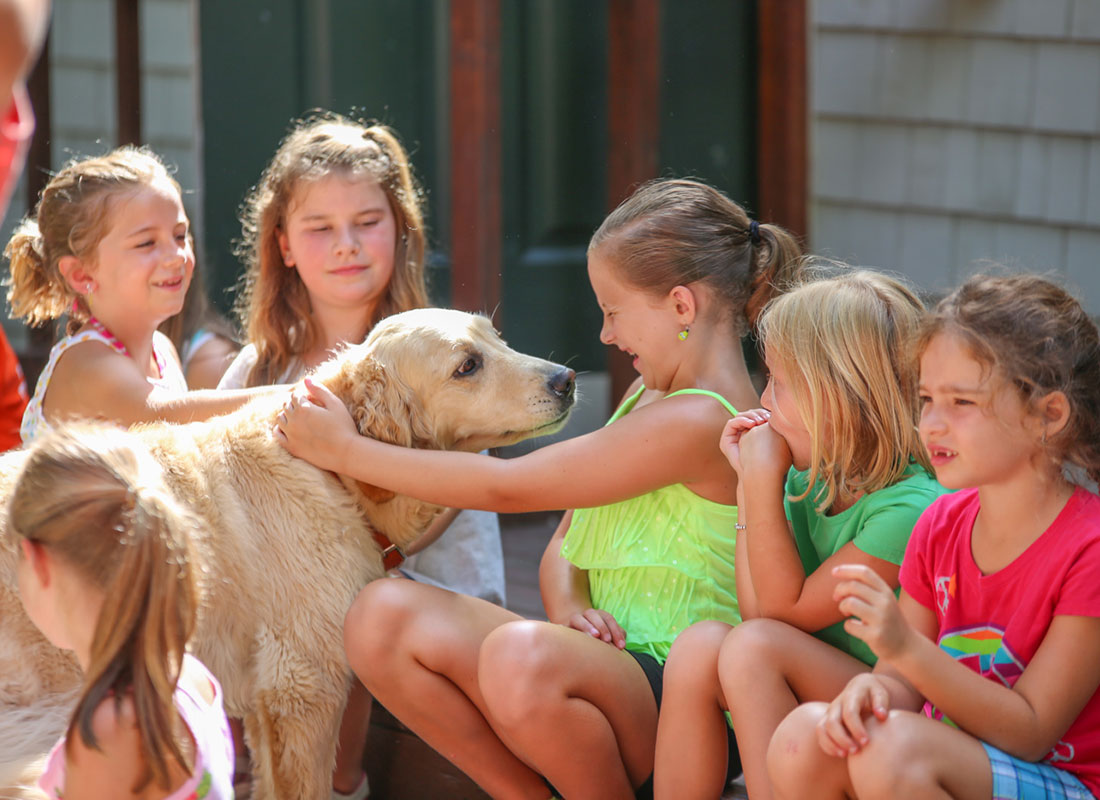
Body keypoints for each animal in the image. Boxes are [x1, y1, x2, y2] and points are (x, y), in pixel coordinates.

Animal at [0, 308, 572, 800]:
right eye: (467, 365)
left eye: (498, 339)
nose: (565, 378)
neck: (337, 475)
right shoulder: (304, 686)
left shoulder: (265, 699)